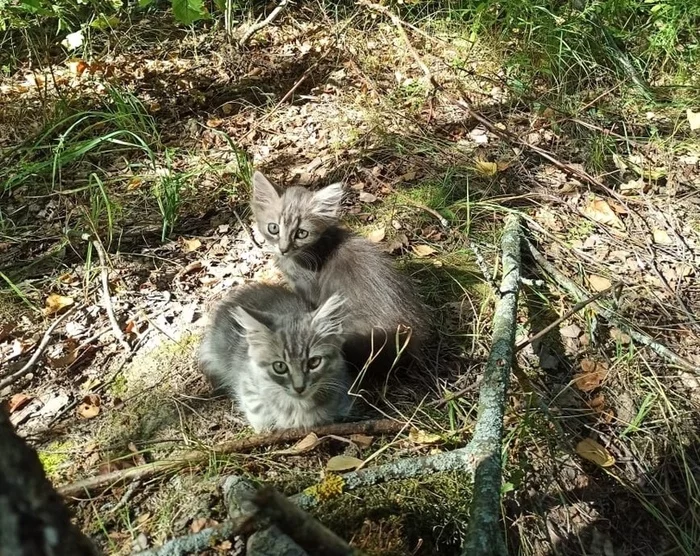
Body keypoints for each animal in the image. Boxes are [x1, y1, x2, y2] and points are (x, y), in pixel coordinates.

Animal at [198, 284, 352, 432]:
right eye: (280, 366)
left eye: (314, 362)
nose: (299, 388)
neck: (299, 405)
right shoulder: (247, 381)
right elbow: (257, 411)